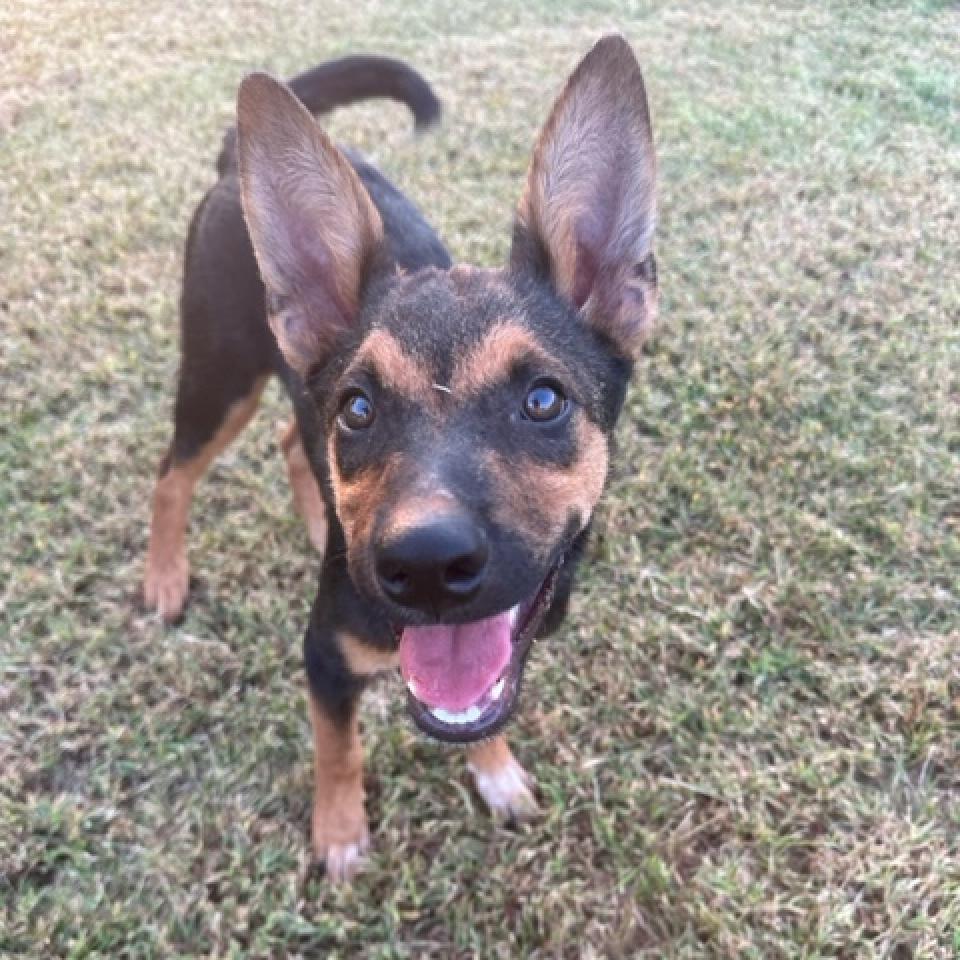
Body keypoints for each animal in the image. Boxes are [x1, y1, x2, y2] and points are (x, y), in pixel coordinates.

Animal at [144, 39, 660, 876]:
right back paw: (164, 577)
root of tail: (229, 165)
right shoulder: (323, 655)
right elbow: (338, 748)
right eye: (360, 408)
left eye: (543, 400)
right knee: (173, 475)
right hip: (220, 380)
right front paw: (340, 832)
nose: (425, 566)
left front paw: (495, 773)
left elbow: (485, 701)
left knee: (290, 440)